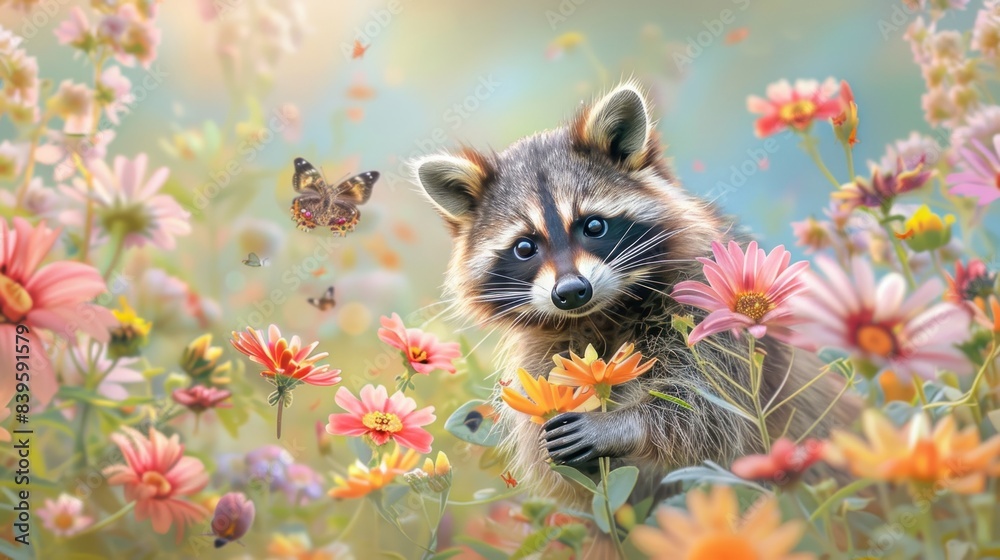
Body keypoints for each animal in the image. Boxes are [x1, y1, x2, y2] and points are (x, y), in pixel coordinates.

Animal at [412, 82, 859, 510]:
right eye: (525, 247)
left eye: (593, 226)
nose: (571, 292)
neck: (601, 314)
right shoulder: (540, 355)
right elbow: (558, 470)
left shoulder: (706, 309)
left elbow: (709, 412)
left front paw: (623, 425)